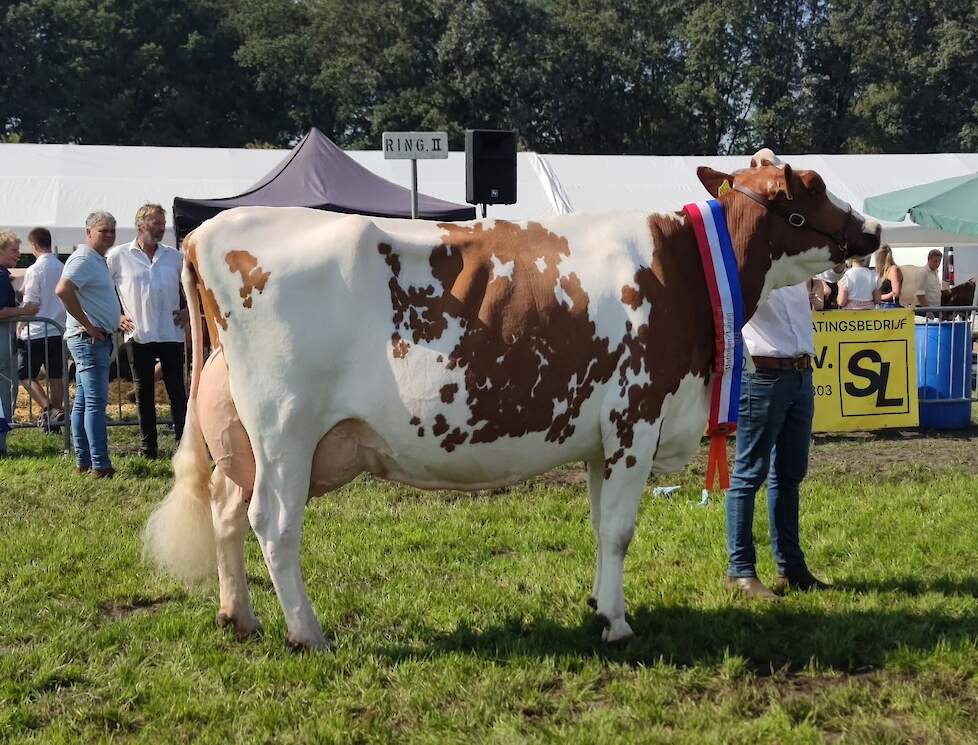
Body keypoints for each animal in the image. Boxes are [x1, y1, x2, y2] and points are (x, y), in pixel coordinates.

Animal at [145, 161, 884, 644]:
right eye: (814, 186)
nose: (876, 230)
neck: (685, 269)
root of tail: (207, 232)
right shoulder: (636, 419)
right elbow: (621, 529)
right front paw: (618, 625)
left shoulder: (603, 438)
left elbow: (601, 528)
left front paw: (600, 607)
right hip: (285, 427)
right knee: (273, 523)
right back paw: (307, 632)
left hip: (239, 434)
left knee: (225, 512)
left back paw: (238, 617)